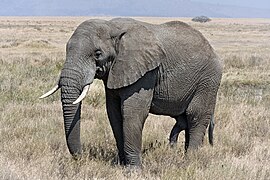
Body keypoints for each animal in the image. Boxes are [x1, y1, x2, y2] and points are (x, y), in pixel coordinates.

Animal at [39, 17, 221, 167]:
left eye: (97, 54)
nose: (81, 157)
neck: (112, 26)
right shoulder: (116, 72)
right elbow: (114, 113)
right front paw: (121, 165)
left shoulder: (145, 72)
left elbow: (132, 113)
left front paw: (133, 170)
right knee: (185, 120)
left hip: (208, 80)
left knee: (195, 116)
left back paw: (190, 161)